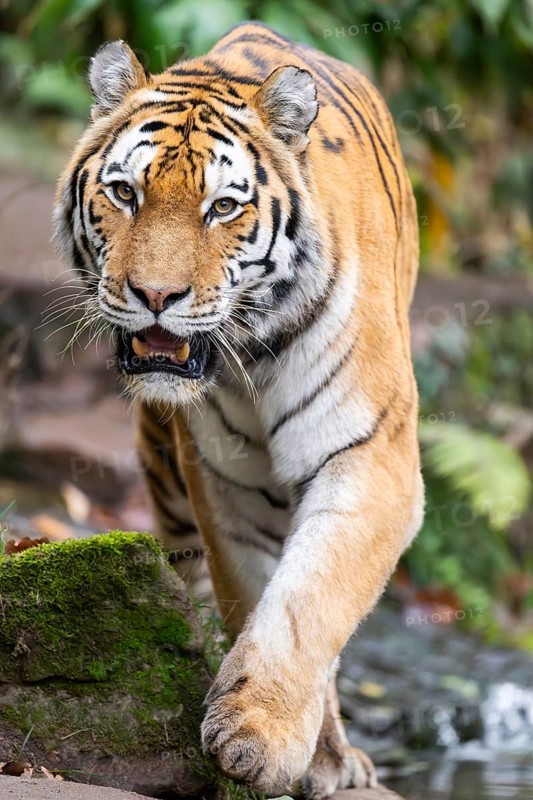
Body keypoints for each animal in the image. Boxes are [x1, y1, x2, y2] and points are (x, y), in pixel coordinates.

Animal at [54, 20, 424, 797]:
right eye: (124, 192)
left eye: (223, 206)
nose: (155, 295)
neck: (255, 352)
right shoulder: (225, 479)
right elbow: (254, 592)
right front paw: (292, 747)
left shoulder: (371, 456)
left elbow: (310, 599)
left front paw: (259, 738)